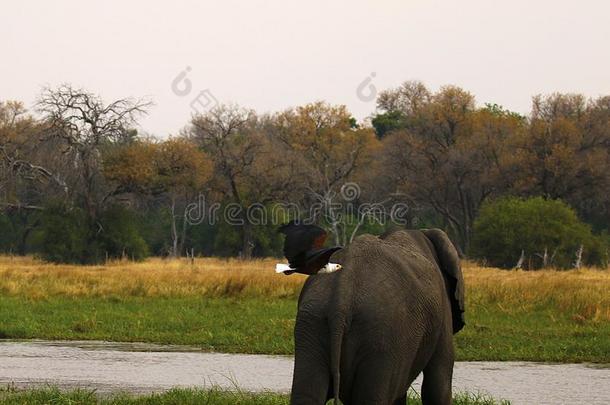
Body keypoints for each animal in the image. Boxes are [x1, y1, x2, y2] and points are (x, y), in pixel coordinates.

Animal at [282, 226, 464, 404]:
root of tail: (343, 290)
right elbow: (438, 383)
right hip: (382, 334)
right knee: (373, 397)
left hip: (312, 322)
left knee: (306, 394)